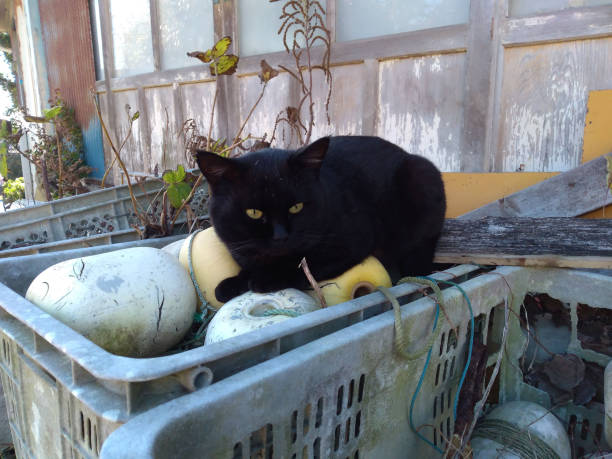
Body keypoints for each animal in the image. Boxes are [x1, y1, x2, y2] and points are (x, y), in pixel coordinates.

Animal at [196, 135, 444, 304]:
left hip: (421, 177)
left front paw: (266, 279)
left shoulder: (352, 242)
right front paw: (232, 284)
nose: (281, 237)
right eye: (254, 213)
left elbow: (304, 267)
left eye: (296, 207)